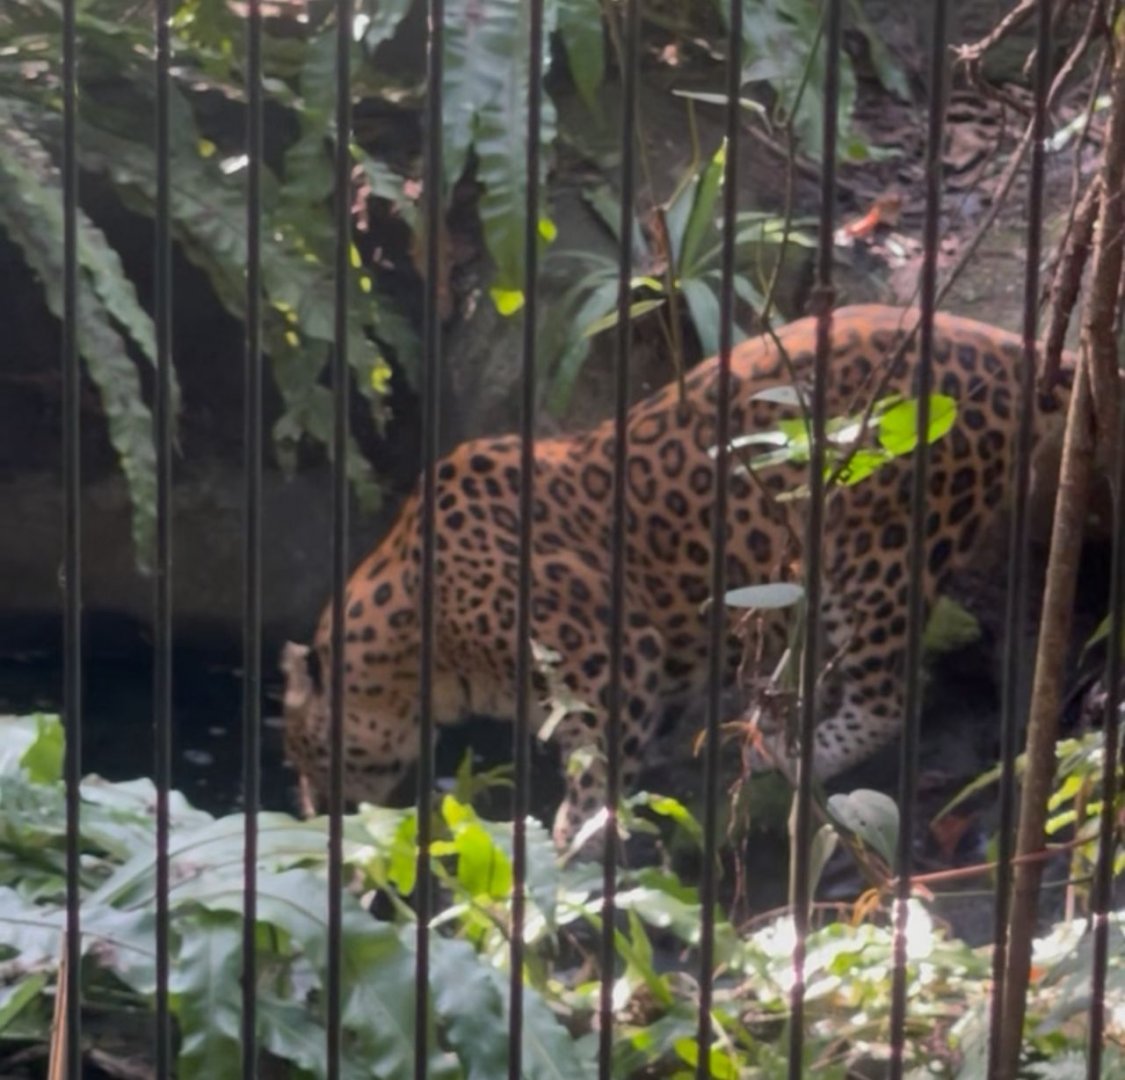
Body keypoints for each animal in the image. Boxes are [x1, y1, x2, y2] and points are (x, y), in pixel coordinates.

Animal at [281, 304, 1072, 849]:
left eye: (306, 750)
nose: (313, 811)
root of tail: (1005, 344)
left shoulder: (609, 653)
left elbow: (597, 776)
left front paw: (567, 856)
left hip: (880, 552)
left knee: (888, 694)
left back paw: (791, 755)